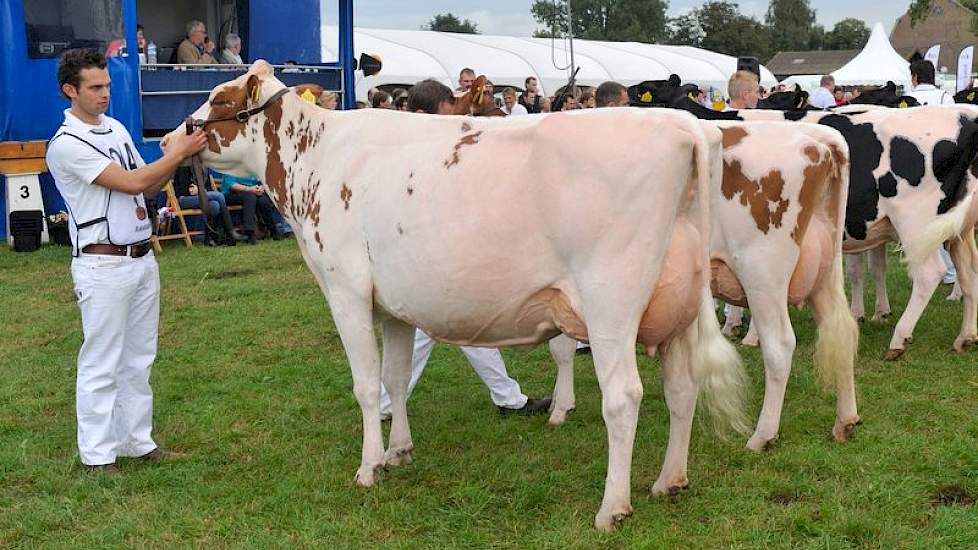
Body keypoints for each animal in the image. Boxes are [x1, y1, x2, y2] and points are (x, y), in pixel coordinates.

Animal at [179, 62, 748, 532]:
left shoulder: (345, 290)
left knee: (625, 396)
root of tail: (683, 124)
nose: (179, 131)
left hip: (611, 300)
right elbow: (396, 379)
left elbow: (365, 385)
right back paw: (669, 481)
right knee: (682, 389)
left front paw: (368, 467)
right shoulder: (395, 305)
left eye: (220, 97)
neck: (318, 158)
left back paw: (613, 508)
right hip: (679, 307)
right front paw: (399, 452)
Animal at [548, 123, 856, 454]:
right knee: (840, 333)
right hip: (822, 272)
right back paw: (845, 421)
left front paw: (560, 407)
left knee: (781, 346)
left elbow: (560, 346)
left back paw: (762, 435)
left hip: (762, 275)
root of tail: (818, 139)